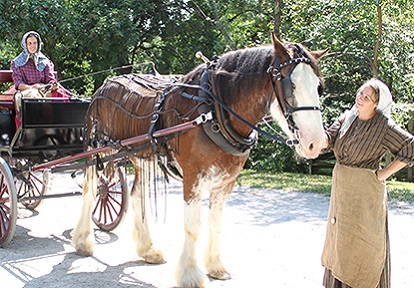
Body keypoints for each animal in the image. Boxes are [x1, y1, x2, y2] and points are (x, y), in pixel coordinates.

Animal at [73, 32, 328, 286]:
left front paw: (215, 266)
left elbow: (215, 223)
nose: (316, 143)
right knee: (91, 191)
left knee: (137, 197)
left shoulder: (226, 182)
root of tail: (105, 85)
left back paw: (148, 249)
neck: (213, 110)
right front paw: (190, 273)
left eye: (319, 87)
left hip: (142, 157)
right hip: (97, 151)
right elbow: (193, 226)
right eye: (291, 84)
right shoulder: (193, 177)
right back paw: (83, 241)